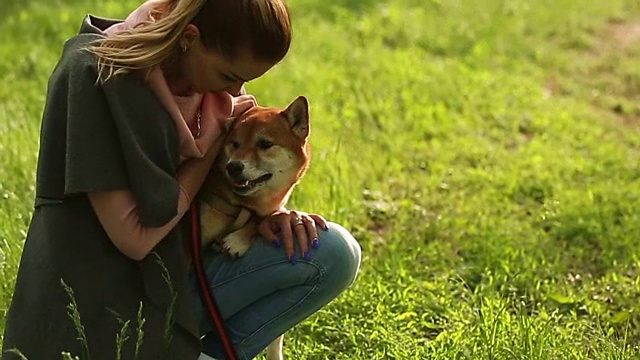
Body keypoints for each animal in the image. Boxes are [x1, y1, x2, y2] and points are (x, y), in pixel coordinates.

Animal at [199, 94, 312, 358]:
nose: (233, 166)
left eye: (265, 144)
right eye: (234, 144)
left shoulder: (265, 211)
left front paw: (239, 239)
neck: (243, 204)